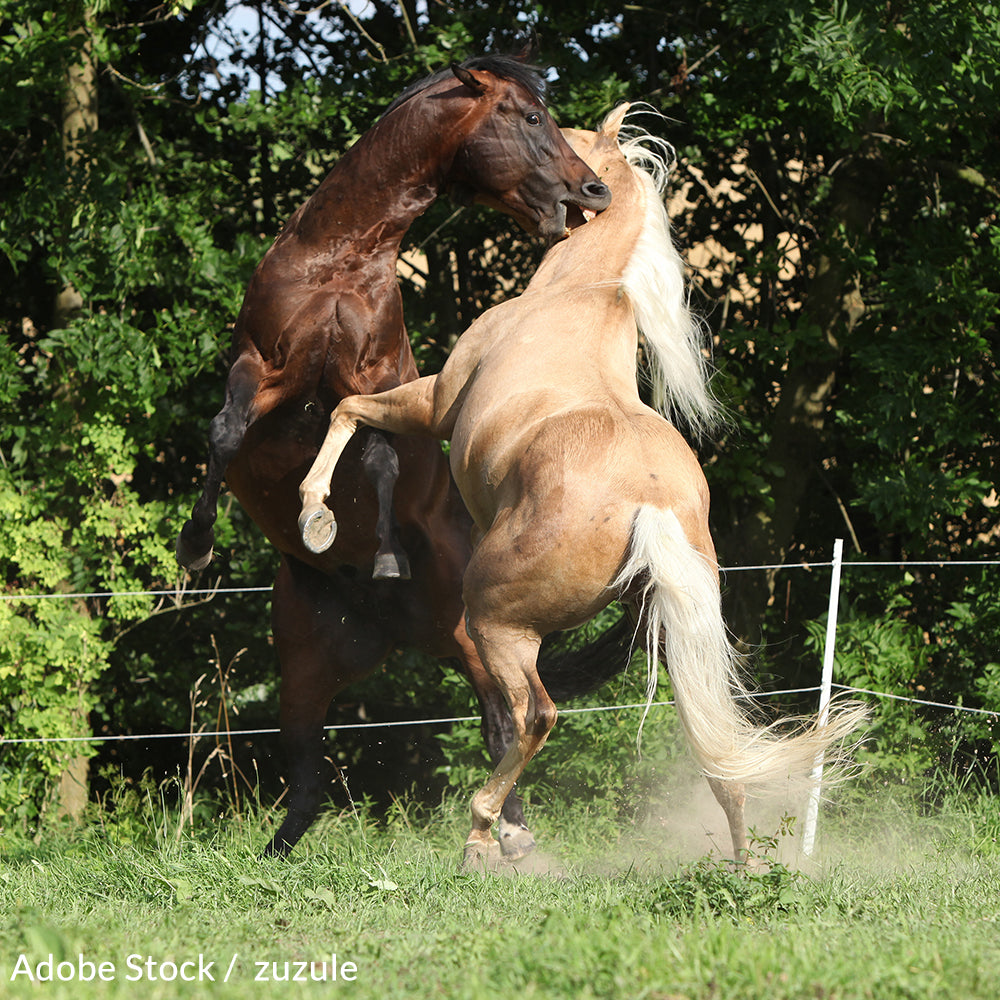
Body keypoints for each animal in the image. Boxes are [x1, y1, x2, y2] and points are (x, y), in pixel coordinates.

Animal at [176, 55, 613, 858]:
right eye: (531, 117)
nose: (593, 190)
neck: (339, 263)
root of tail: (397, 635)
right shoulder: (263, 367)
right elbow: (224, 431)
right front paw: (196, 544)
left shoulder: (370, 380)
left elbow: (376, 460)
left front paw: (377, 552)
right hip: (305, 669)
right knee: (308, 772)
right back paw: (274, 857)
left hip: (477, 641)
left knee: (505, 723)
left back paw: (510, 838)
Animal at [297, 103, 868, 866]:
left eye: (555, 131)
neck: (576, 292)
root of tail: (650, 505)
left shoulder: (435, 402)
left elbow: (349, 409)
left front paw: (315, 517)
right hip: (675, 634)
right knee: (715, 744)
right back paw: (744, 864)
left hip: (496, 620)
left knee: (533, 714)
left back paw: (485, 835)